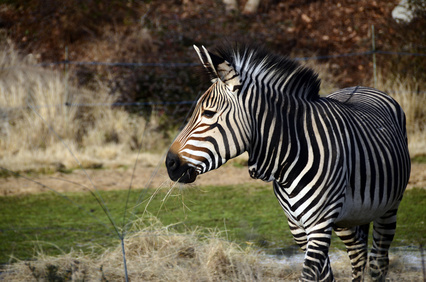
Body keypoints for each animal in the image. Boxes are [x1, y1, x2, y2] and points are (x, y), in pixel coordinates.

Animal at [166, 43, 410, 280]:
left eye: (208, 113)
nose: (169, 163)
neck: (290, 156)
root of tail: (365, 87)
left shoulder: (320, 225)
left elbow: (309, 275)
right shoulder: (298, 228)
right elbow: (323, 276)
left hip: (389, 207)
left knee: (378, 262)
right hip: (349, 215)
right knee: (358, 252)